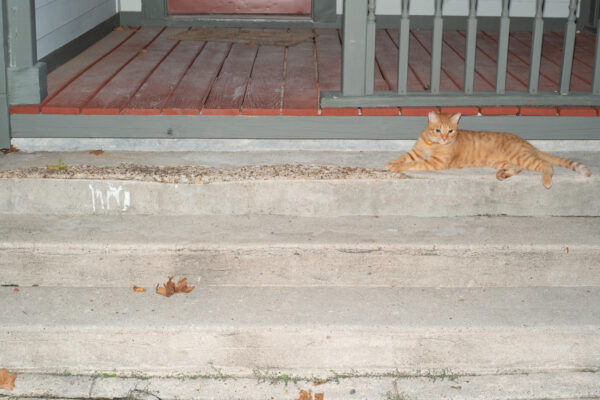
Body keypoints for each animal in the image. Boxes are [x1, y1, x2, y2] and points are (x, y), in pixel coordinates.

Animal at [390, 111, 592, 189]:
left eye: (451, 131)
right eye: (438, 130)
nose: (445, 138)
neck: (432, 144)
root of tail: (526, 142)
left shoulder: (434, 162)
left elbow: (413, 164)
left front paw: (396, 167)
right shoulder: (415, 152)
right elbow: (403, 157)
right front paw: (391, 164)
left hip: (523, 157)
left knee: (546, 165)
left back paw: (547, 181)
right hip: (503, 161)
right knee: (518, 168)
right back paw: (502, 174)